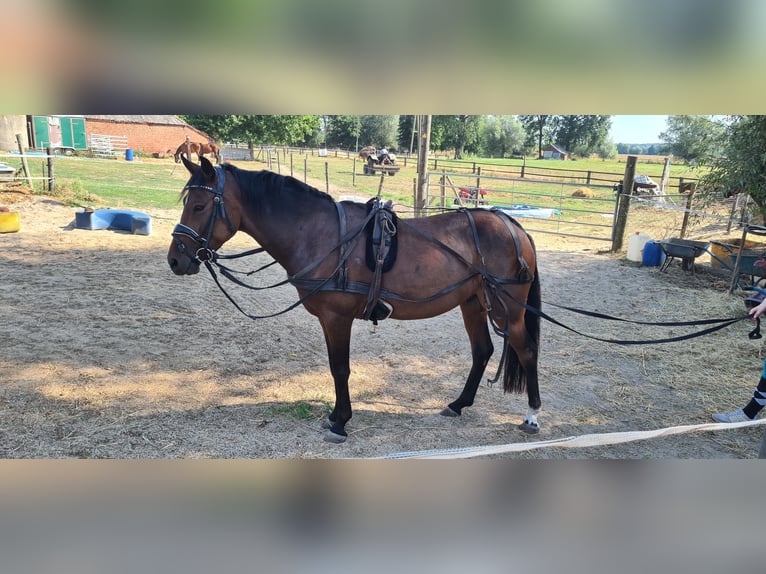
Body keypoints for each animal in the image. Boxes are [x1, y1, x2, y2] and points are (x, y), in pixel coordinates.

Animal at [167, 158, 544, 446]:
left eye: (199, 206)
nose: (175, 259)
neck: (319, 234)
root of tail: (512, 225)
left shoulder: (337, 317)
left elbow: (340, 368)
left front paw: (340, 423)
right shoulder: (328, 319)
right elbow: (335, 367)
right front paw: (335, 415)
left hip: (508, 309)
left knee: (526, 350)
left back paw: (532, 415)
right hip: (473, 303)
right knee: (482, 351)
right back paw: (458, 404)